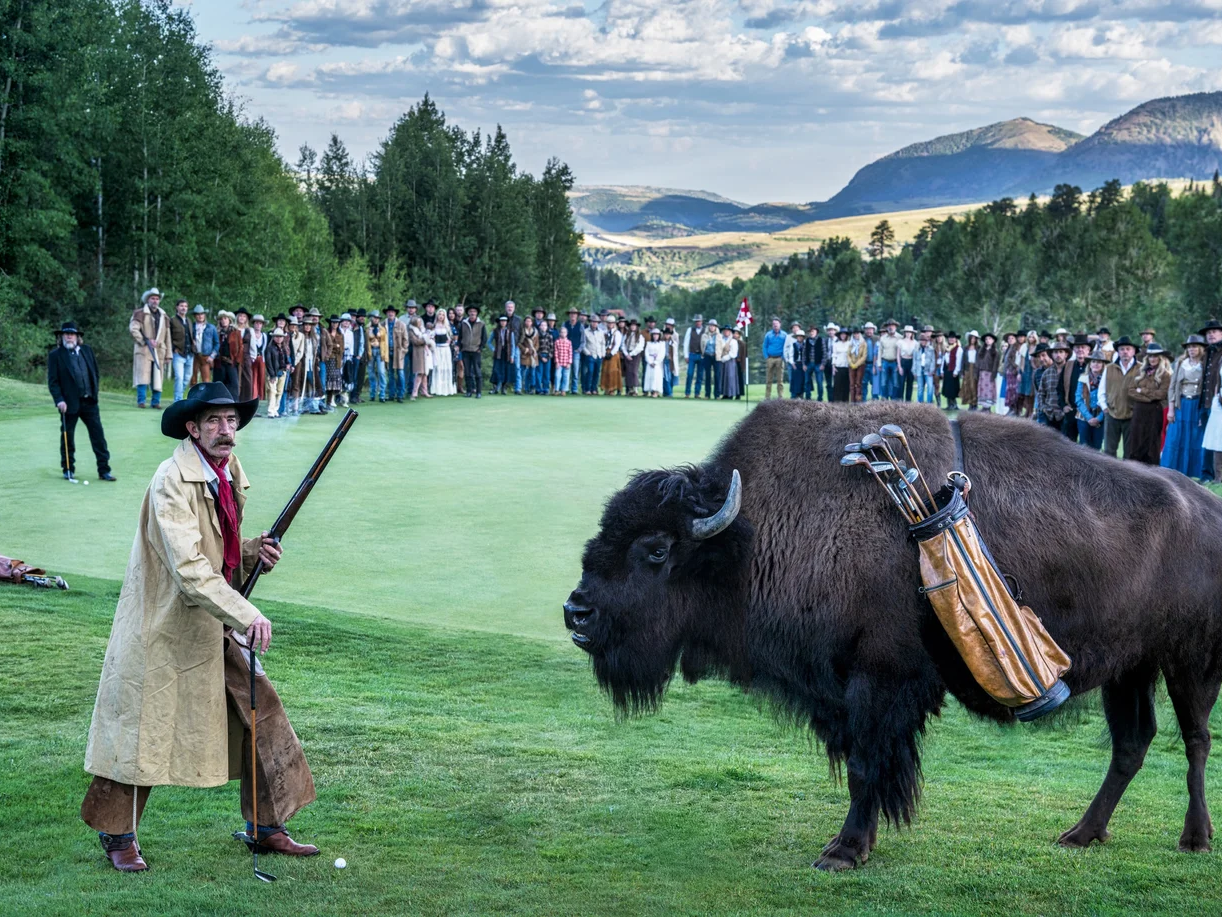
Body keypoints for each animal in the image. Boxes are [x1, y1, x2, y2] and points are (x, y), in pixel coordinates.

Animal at [564, 401, 1222, 870]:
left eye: (655, 550)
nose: (576, 613)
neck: (749, 537)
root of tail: (1209, 508)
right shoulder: (845, 693)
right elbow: (869, 767)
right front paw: (861, 841)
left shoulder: (876, 683)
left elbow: (866, 765)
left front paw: (843, 852)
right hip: (1129, 670)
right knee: (1132, 743)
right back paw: (1081, 834)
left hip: (1188, 664)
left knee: (1194, 742)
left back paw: (1193, 839)